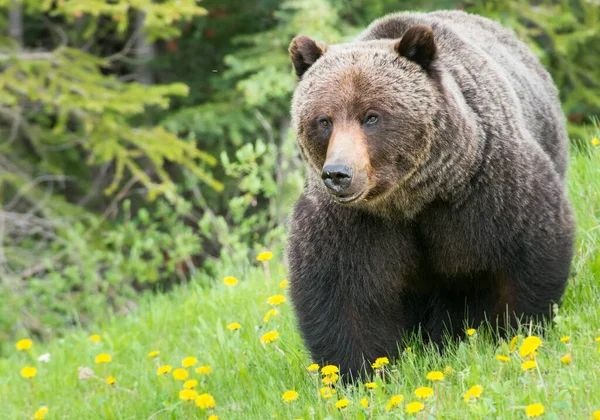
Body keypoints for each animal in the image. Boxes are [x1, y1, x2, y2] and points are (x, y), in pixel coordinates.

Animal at [286, 9, 576, 378]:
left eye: (371, 116)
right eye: (323, 120)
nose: (338, 174)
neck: (412, 199)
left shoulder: (486, 190)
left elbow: (524, 253)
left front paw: (515, 332)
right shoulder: (351, 224)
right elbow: (342, 295)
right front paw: (360, 371)